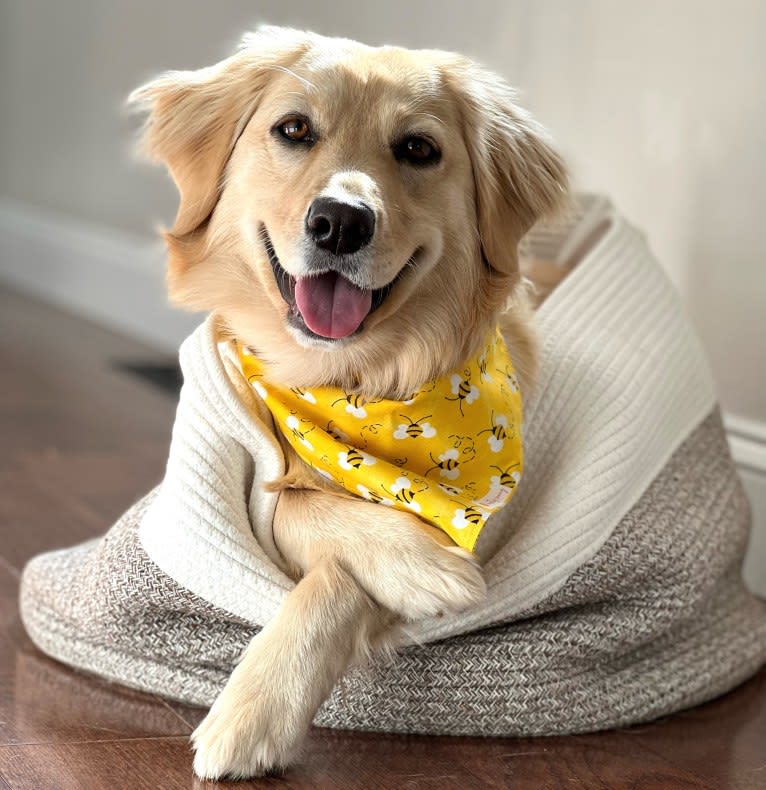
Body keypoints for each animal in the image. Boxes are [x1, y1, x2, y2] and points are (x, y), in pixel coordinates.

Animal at [129, 27, 568, 784]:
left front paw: (253, 710)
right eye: (294, 129)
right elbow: (291, 503)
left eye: (418, 148)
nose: (339, 223)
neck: (354, 381)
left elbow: (328, 568)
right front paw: (420, 562)